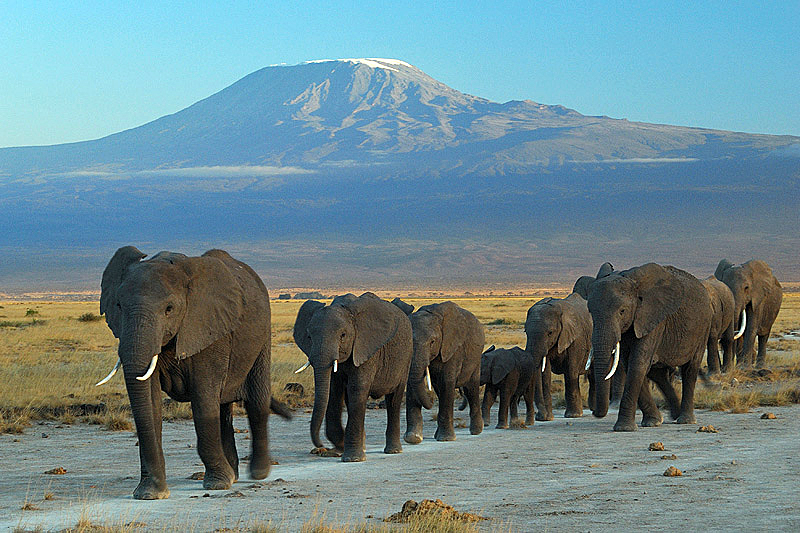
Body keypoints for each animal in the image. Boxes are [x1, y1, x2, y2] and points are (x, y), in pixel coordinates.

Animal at [97, 246, 290, 498]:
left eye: (169, 309)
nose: (153, 489)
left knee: (256, 402)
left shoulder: (210, 328)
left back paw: (257, 474)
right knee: (223, 408)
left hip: (262, 335)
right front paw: (151, 493)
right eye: (119, 306)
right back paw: (234, 475)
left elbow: (203, 400)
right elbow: (151, 402)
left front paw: (218, 484)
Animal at [404, 302, 484, 442]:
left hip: (476, 359)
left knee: (471, 389)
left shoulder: (453, 348)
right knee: (440, 391)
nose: (430, 401)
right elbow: (411, 385)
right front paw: (413, 438)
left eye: (432, 342)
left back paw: (476, 431)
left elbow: (447, 382)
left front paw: (446, 439)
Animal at [524, 290, 592, 420]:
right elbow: (545, 374)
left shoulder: (576, 337)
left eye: (550, 333)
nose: (540, 416)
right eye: (526, 332)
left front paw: (573, 415)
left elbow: (571, 371)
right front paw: (546, 418)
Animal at [588, 262, 712, 432]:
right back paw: (672, 415)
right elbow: (630, 364)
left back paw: (685, 420)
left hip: (703, 328)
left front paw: (624, 428)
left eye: (622, 311)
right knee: (657, 373)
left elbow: (637, 364)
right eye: (590, 312)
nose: (594, 411)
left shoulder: (653, 318)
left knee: (690, 369)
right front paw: (652, 422)